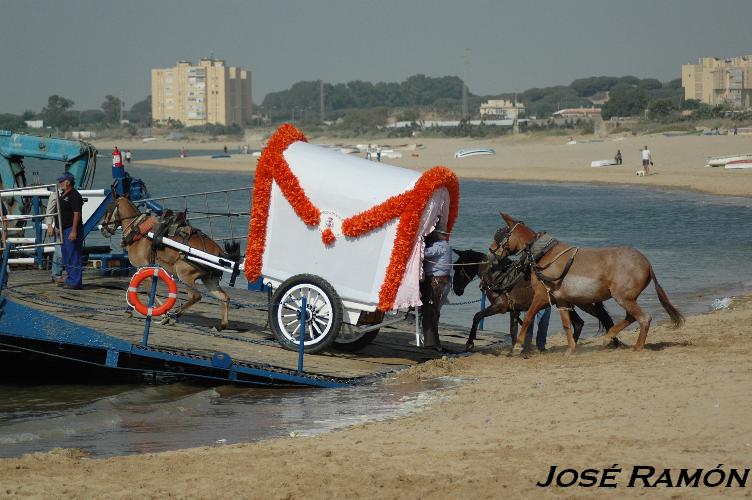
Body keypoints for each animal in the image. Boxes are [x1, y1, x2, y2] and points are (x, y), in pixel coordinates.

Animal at [101, 196, 239, 332]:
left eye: (107, 210)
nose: (102, 229)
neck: (138, 229)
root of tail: (219, 252)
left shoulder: (143, 267)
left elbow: (150, 292)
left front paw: (164, 315)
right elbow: (135, 288)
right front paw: (130, 309)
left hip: (183, 272)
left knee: (196, 296)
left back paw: (176, 313)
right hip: (210, 280)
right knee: (224, 297)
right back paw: (222, 324)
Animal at [450, 247, 612, 352]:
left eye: (457, 268)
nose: (456, 290)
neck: (498, 276)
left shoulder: (499, 307)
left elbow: (477, 316)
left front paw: (469, 343)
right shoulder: (513, 309)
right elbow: (513, 330)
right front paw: (516, 347)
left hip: (584, 303)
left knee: (601, 317)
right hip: (569, 304)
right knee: (580, 323)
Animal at [490, 213, 684, 354]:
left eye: (500, 234)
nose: (491, 252)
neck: (544, 254)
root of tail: (646, 262)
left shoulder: (542, 296)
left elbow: (529, 317)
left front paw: (517, 345)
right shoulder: (561, 300)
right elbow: (567, 324)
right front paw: (571, 349)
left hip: (623, 298)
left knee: (643, 318)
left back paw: (637, 347)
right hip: (624, 299)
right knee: (631, 317)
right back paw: (609, 337)